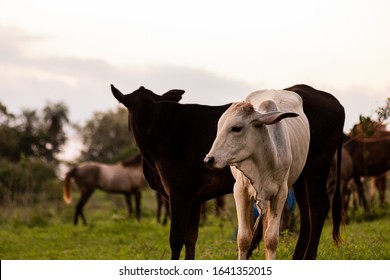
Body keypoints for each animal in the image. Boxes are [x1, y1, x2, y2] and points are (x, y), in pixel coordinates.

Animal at [204, 90, 310, 260]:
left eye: (237, 128)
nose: (209, 159)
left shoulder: (281, 193)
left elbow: (271, 239)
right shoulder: (240, 191)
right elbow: (243, 239)